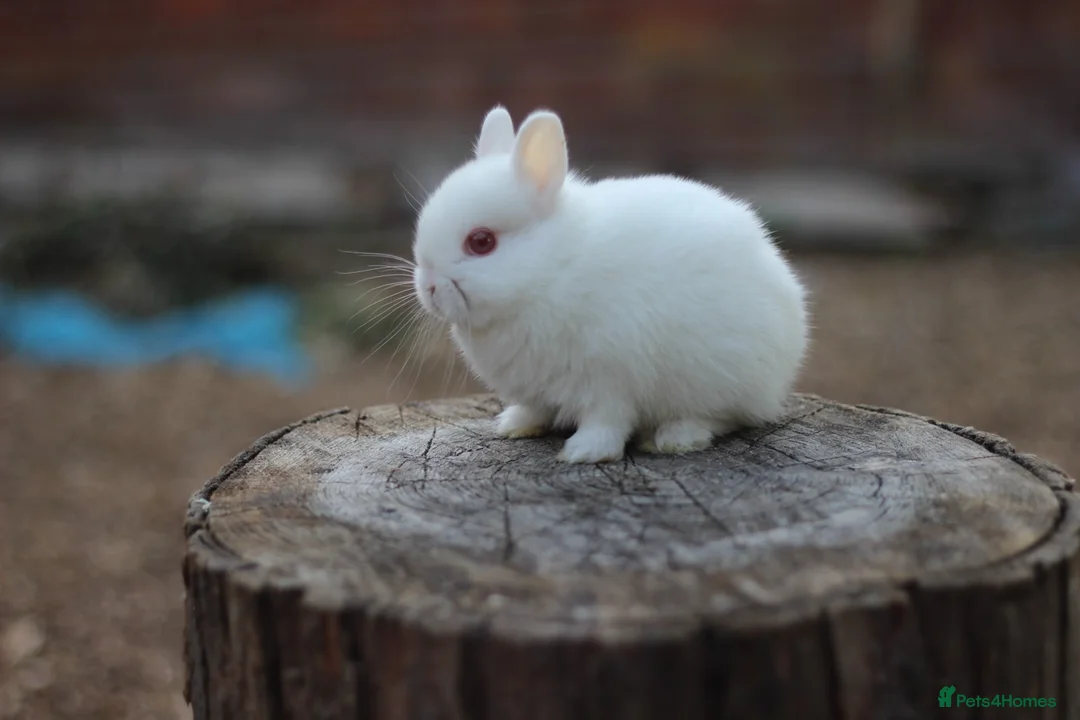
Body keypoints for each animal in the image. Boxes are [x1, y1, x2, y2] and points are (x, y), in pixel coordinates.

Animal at [412, 105, 809, 464]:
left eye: (481, 242)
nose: (429, 288)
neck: (553, 270)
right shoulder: (541, 388)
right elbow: (536, 408)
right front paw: (514, 424)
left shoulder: (611, 377)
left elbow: (606, 419)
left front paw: (584, 453)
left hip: (719, 378)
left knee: (724, 417)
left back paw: (677, 438)